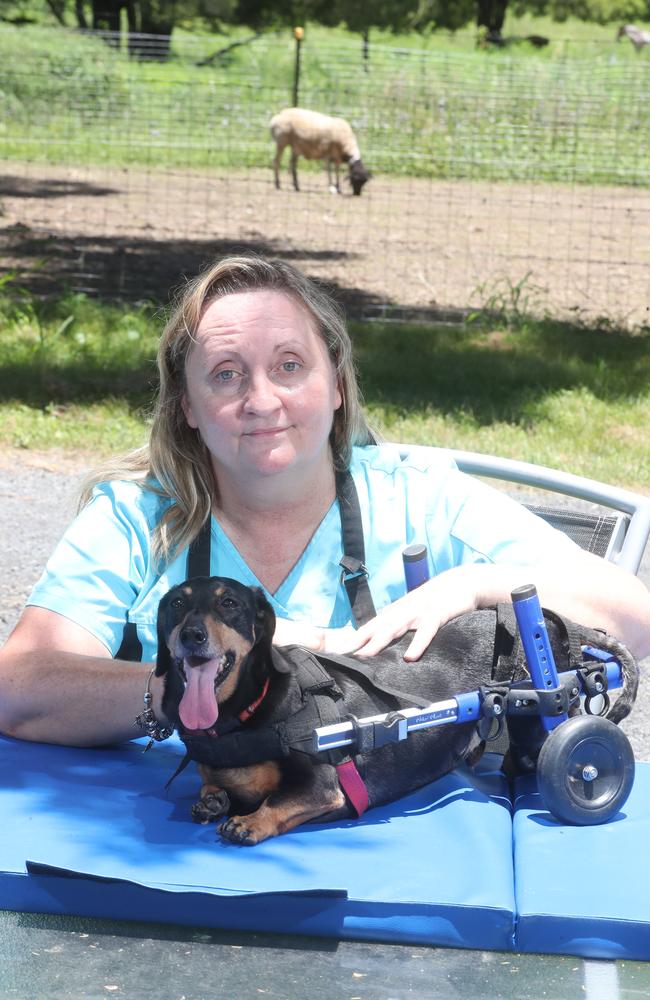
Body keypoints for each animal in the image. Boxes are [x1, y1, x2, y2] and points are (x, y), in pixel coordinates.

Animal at [154, 580, 636, 844]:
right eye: (175, 604)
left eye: (229, 603)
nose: (192, 635)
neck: (246, 714)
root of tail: (555, 620)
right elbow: (213, 788)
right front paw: (214, 800)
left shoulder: (321, 788)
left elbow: (279, 800)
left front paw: (249, 822)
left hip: (536, 713)